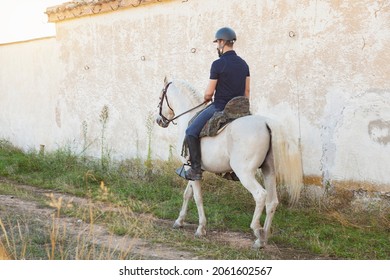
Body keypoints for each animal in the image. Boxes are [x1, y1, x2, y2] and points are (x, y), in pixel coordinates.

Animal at [155, 78, 302, 247]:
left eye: (160, 97)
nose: (159, 120)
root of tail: (266, 123)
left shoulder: (190, 168)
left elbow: (197, 197)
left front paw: (201, 228)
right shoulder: (193, 170)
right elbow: (187, 194)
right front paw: (179, 221)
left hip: (244, 173)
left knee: (260, 195)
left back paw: (257, 229)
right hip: (269, 171)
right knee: (272, 201)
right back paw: (262, 239)